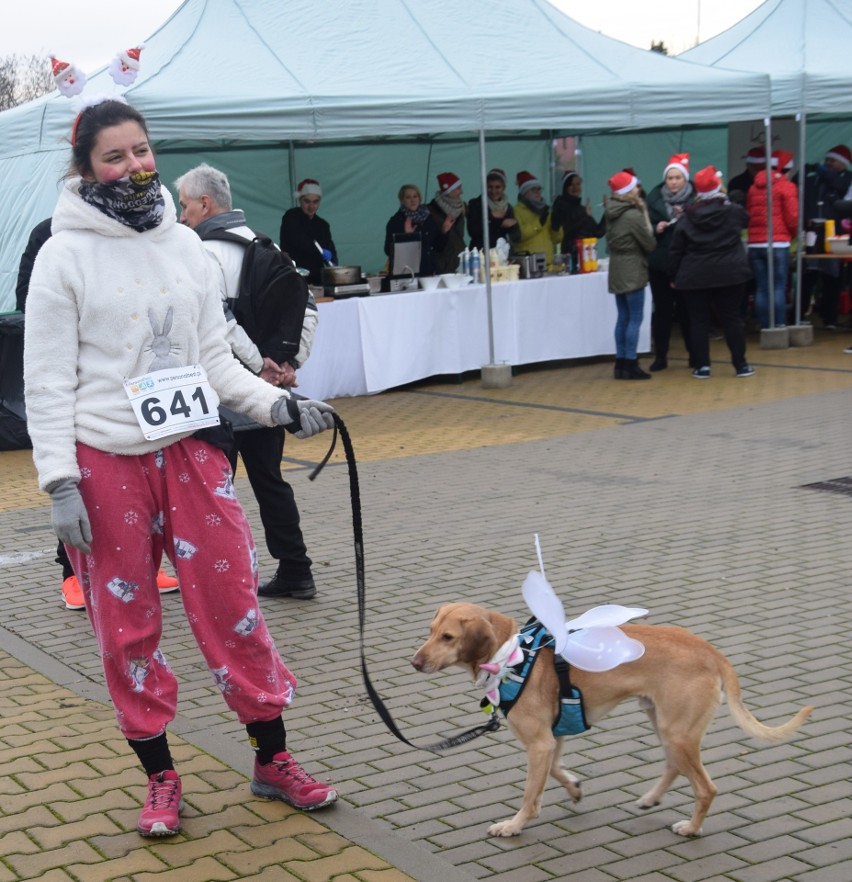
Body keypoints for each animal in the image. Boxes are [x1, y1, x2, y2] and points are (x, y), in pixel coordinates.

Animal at [412, 600, 812, 836]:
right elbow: (555, 773)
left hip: (677, 732)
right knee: (674, 766)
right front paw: (573, 789)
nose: (414, 663)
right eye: (430, 632)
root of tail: (710, 651)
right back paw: (651, 799)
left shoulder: (540, 743)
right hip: (664, 723)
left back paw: (691, 828)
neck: (514, 653)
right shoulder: (553, 738)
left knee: (705, 787)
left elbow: (530, 793)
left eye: (448, 637)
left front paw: (514, 825)